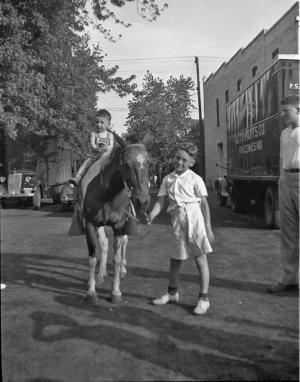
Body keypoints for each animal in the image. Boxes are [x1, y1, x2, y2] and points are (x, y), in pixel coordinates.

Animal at [69, 131, 150, 304]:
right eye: (126, 164)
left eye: (148, 162)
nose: (143, 200)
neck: (107, 193)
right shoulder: (91, 224)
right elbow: (93, 256)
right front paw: (91, 291)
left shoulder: (119, 226)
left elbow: (117, 257)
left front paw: (116, 292)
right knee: (104, 244)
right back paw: (101, 274)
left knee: (124, 243)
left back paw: (123, 270)